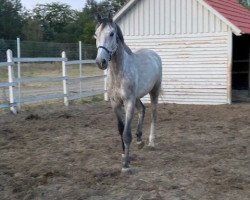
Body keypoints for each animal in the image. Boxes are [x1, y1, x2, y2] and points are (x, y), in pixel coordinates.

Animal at [94, 12, 162, 172]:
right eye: (96, 35)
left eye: (111, 33)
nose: (101, 62)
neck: (118, 72)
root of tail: (154, 54)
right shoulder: (115, 103)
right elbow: (120, 129)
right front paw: (124, 153)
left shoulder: (128, 102)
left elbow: (126, 133)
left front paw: (126, 164)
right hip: (137, 97)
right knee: (142, 109)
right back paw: (139, 140)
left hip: (154, 91)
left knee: (153, 113)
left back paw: (151, 142)